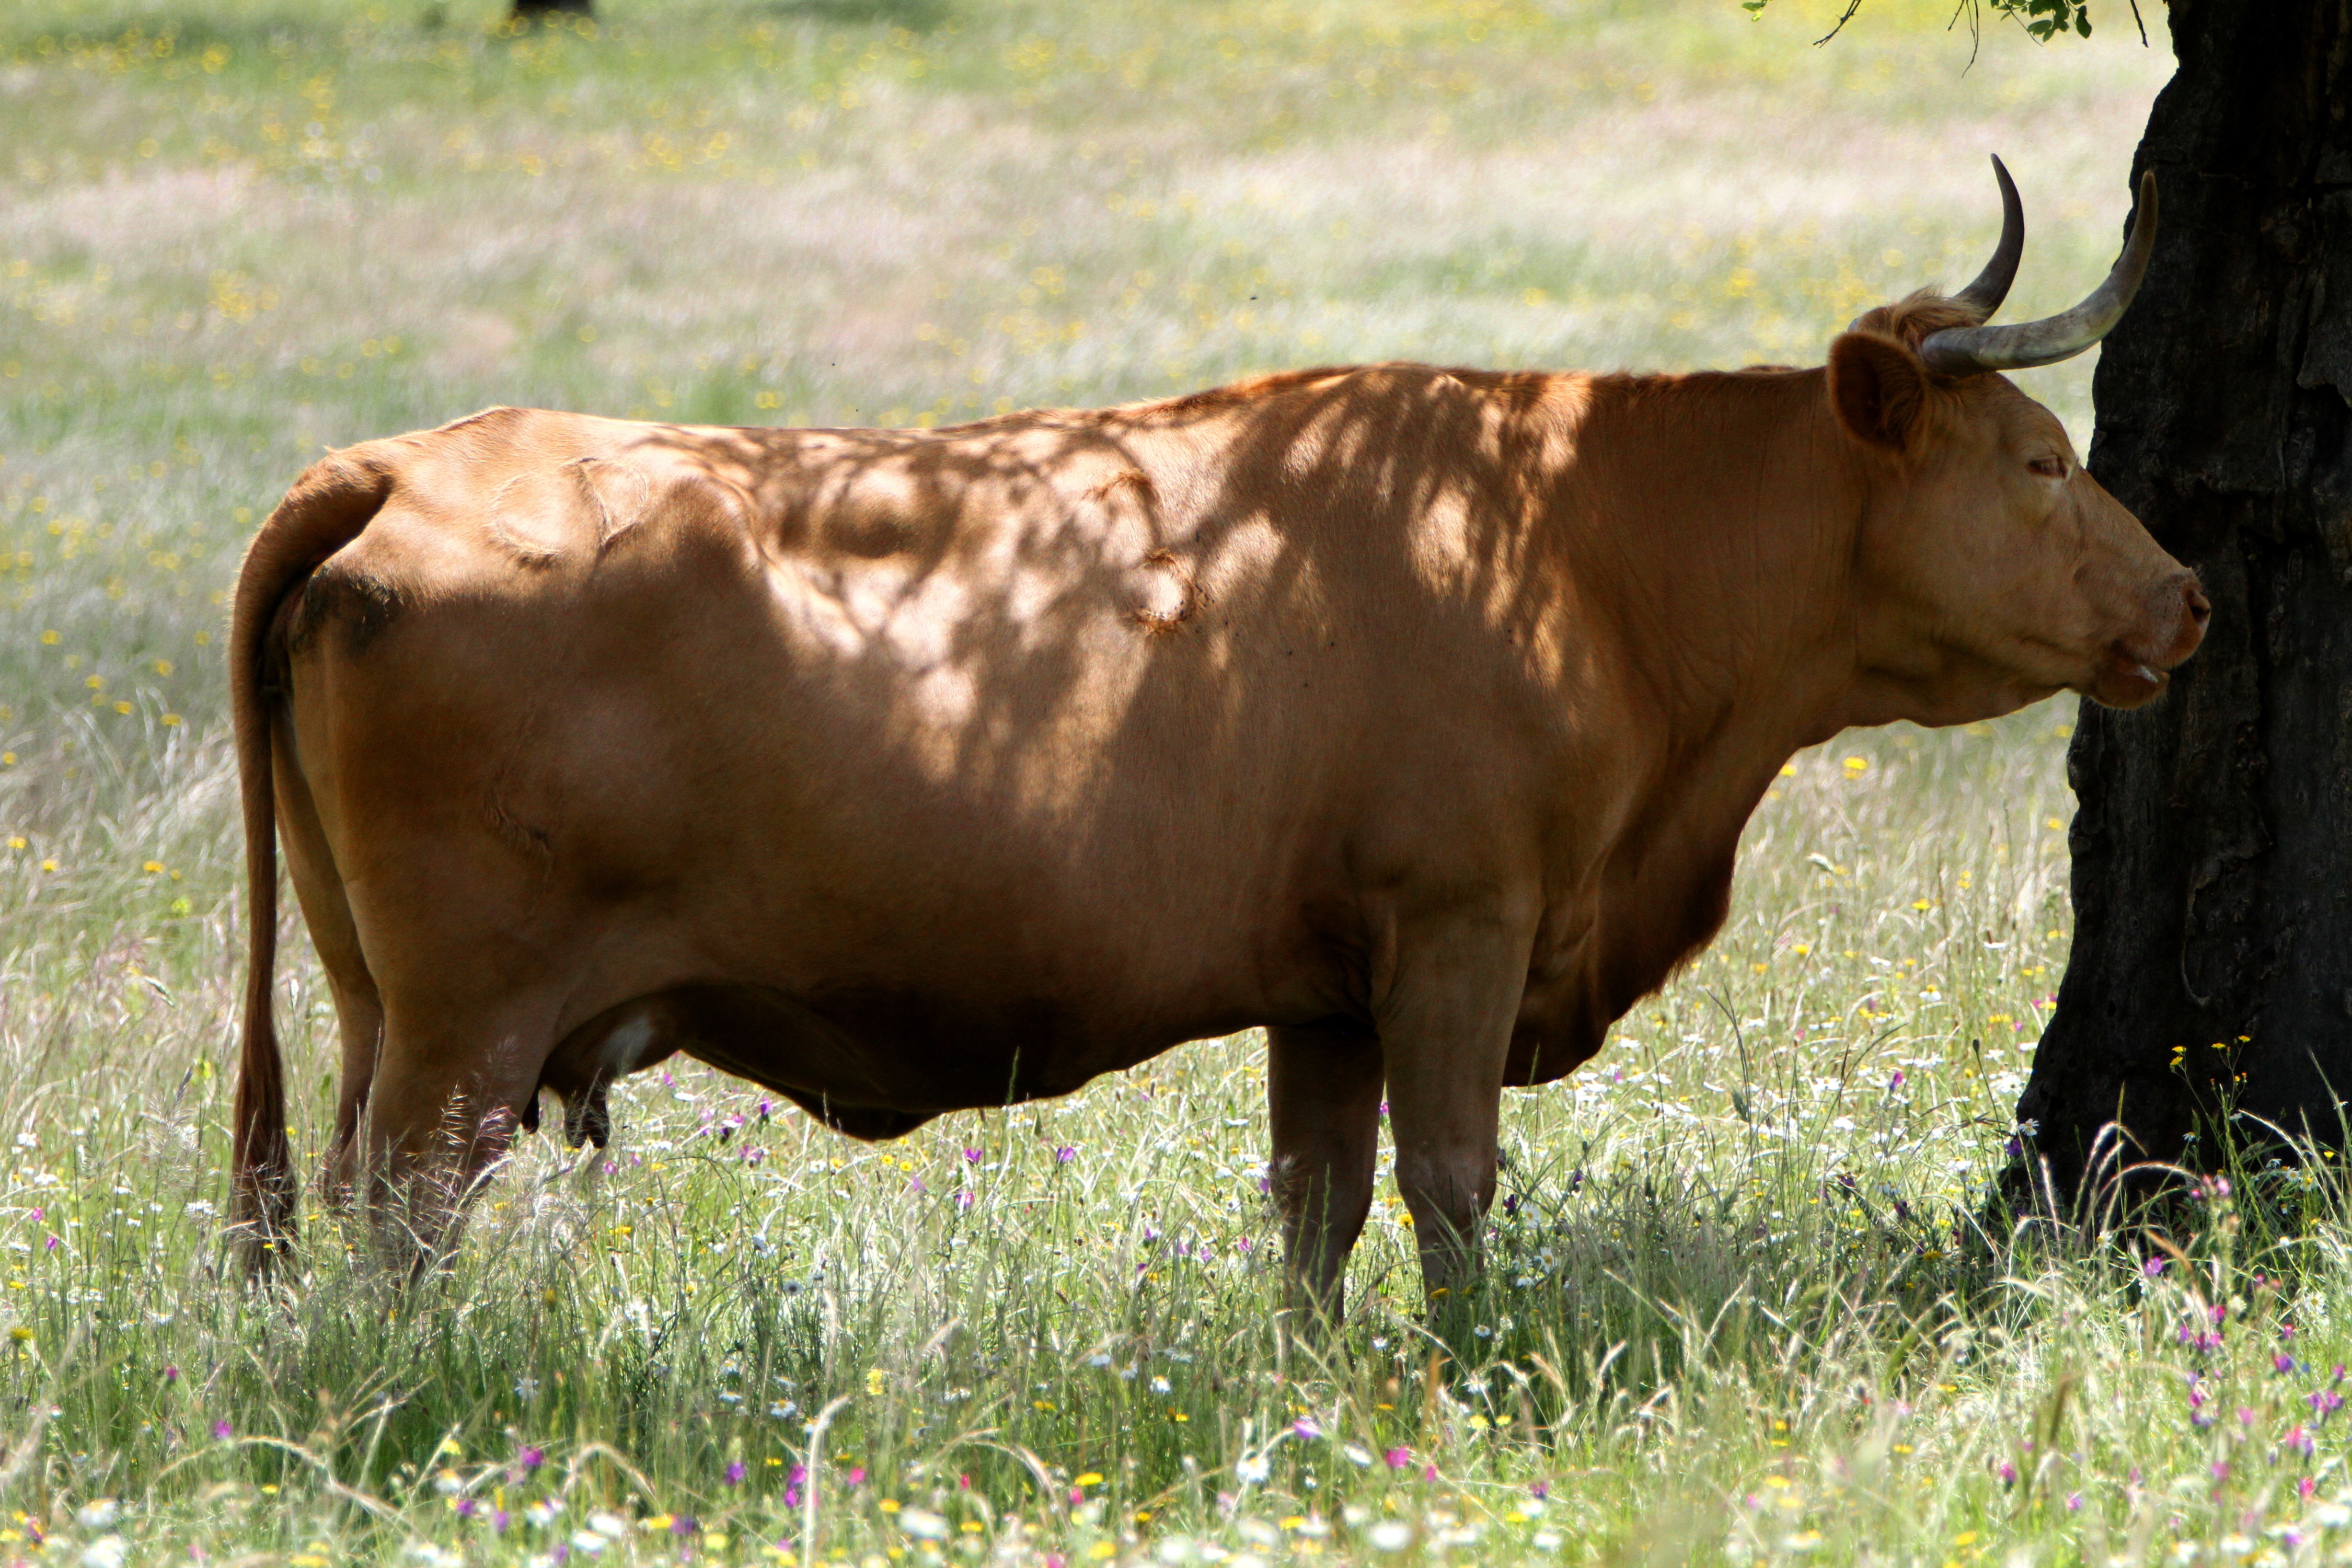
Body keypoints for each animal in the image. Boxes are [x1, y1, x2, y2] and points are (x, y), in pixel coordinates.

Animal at [229, 162, 2192, 1316]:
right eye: (2043, 460)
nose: (2186, 598)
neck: (1576, 538)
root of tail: (403, 461)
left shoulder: (1322, 987)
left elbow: (1317, 1208)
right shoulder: (1460, 929)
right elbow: (1454, 1185)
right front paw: (1477, 1379)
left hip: (372, 1012)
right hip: (465, 1036)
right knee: (401, 1223)